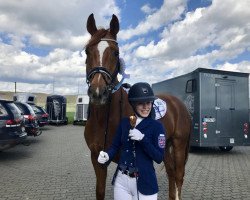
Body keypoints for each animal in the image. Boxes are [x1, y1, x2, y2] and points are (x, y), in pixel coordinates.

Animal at [84, 13, 191, 199]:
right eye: (87, 51)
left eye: (116, 52)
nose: (98, 93)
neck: (104, 119)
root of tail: (179, 104)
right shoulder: (97, 158)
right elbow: (100, 191)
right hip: (165, 145)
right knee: (171, 173)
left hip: (179, 144)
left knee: (178, 175)